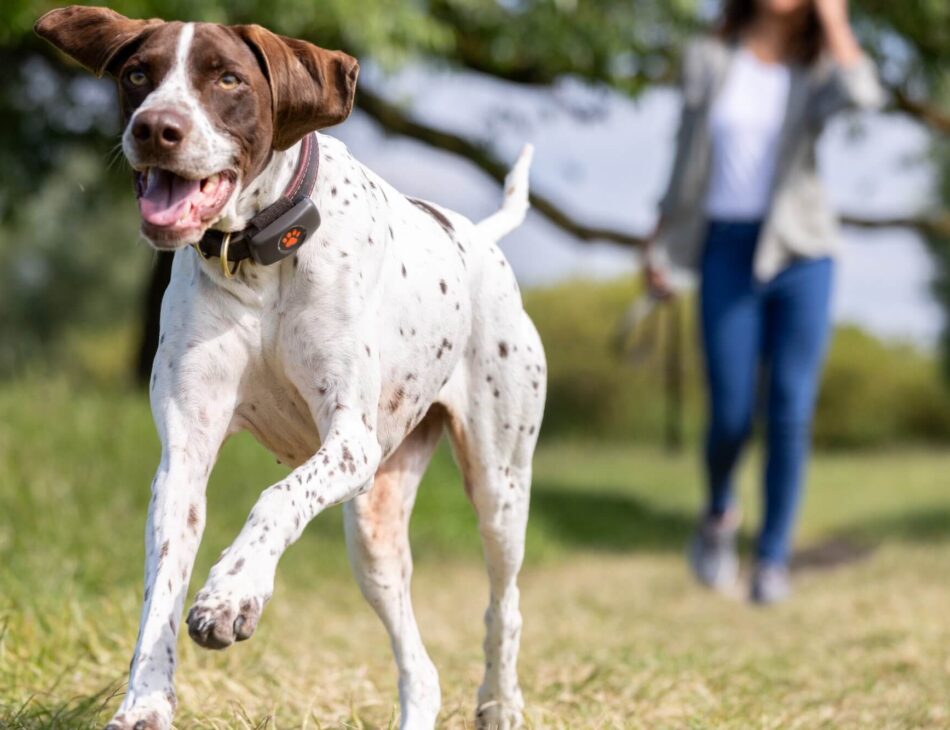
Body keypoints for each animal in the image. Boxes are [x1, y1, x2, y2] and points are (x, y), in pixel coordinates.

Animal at [37, 7, 548, 728]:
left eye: (227, 78)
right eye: (138, 74)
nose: (155, 128)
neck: (258, 253)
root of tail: (481, 237)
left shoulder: (350, 440)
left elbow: (275, 498)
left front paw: (230, 594)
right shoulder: (183, 462)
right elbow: (160, 588)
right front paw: (146, 704)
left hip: (500, 488)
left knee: (506, 605)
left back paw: (500, 702)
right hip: (373, 534)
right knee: (420, 669)